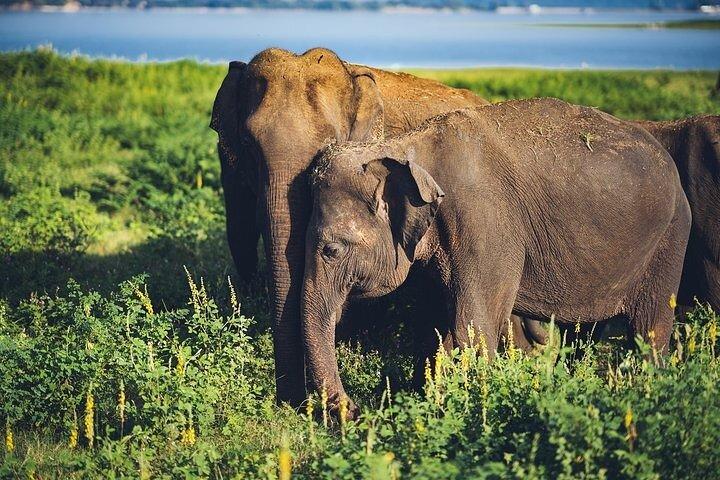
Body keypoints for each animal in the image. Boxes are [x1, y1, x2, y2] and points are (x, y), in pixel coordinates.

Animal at [301, 98, 692, 416]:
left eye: (332, 250)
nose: (355, 410)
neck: (406, 146)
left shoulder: (486, 225)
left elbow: (470, 325)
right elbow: (433, 325)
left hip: (670, 237)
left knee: (649, 328)